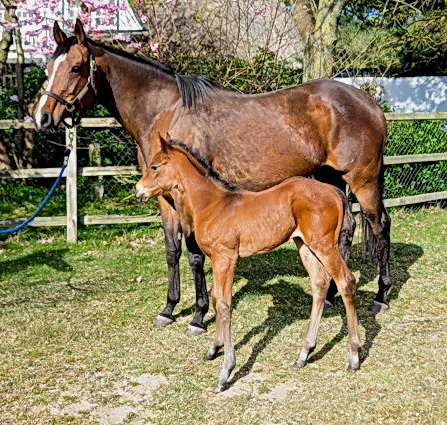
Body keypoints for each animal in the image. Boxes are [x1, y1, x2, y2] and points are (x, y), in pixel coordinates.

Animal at [135, 136, 362, 390]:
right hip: (304, 245)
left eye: (155, 166)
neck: (212, 204)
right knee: (320, 284)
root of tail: (334, 190)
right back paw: (304, 354)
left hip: (325, 246)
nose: (138, 191)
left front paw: (225, 371)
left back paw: (354, 357)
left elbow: (225, 304)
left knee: (346, 282)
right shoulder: (216, 259)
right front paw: (214, 348)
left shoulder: (226, 257)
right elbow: (216, 298)